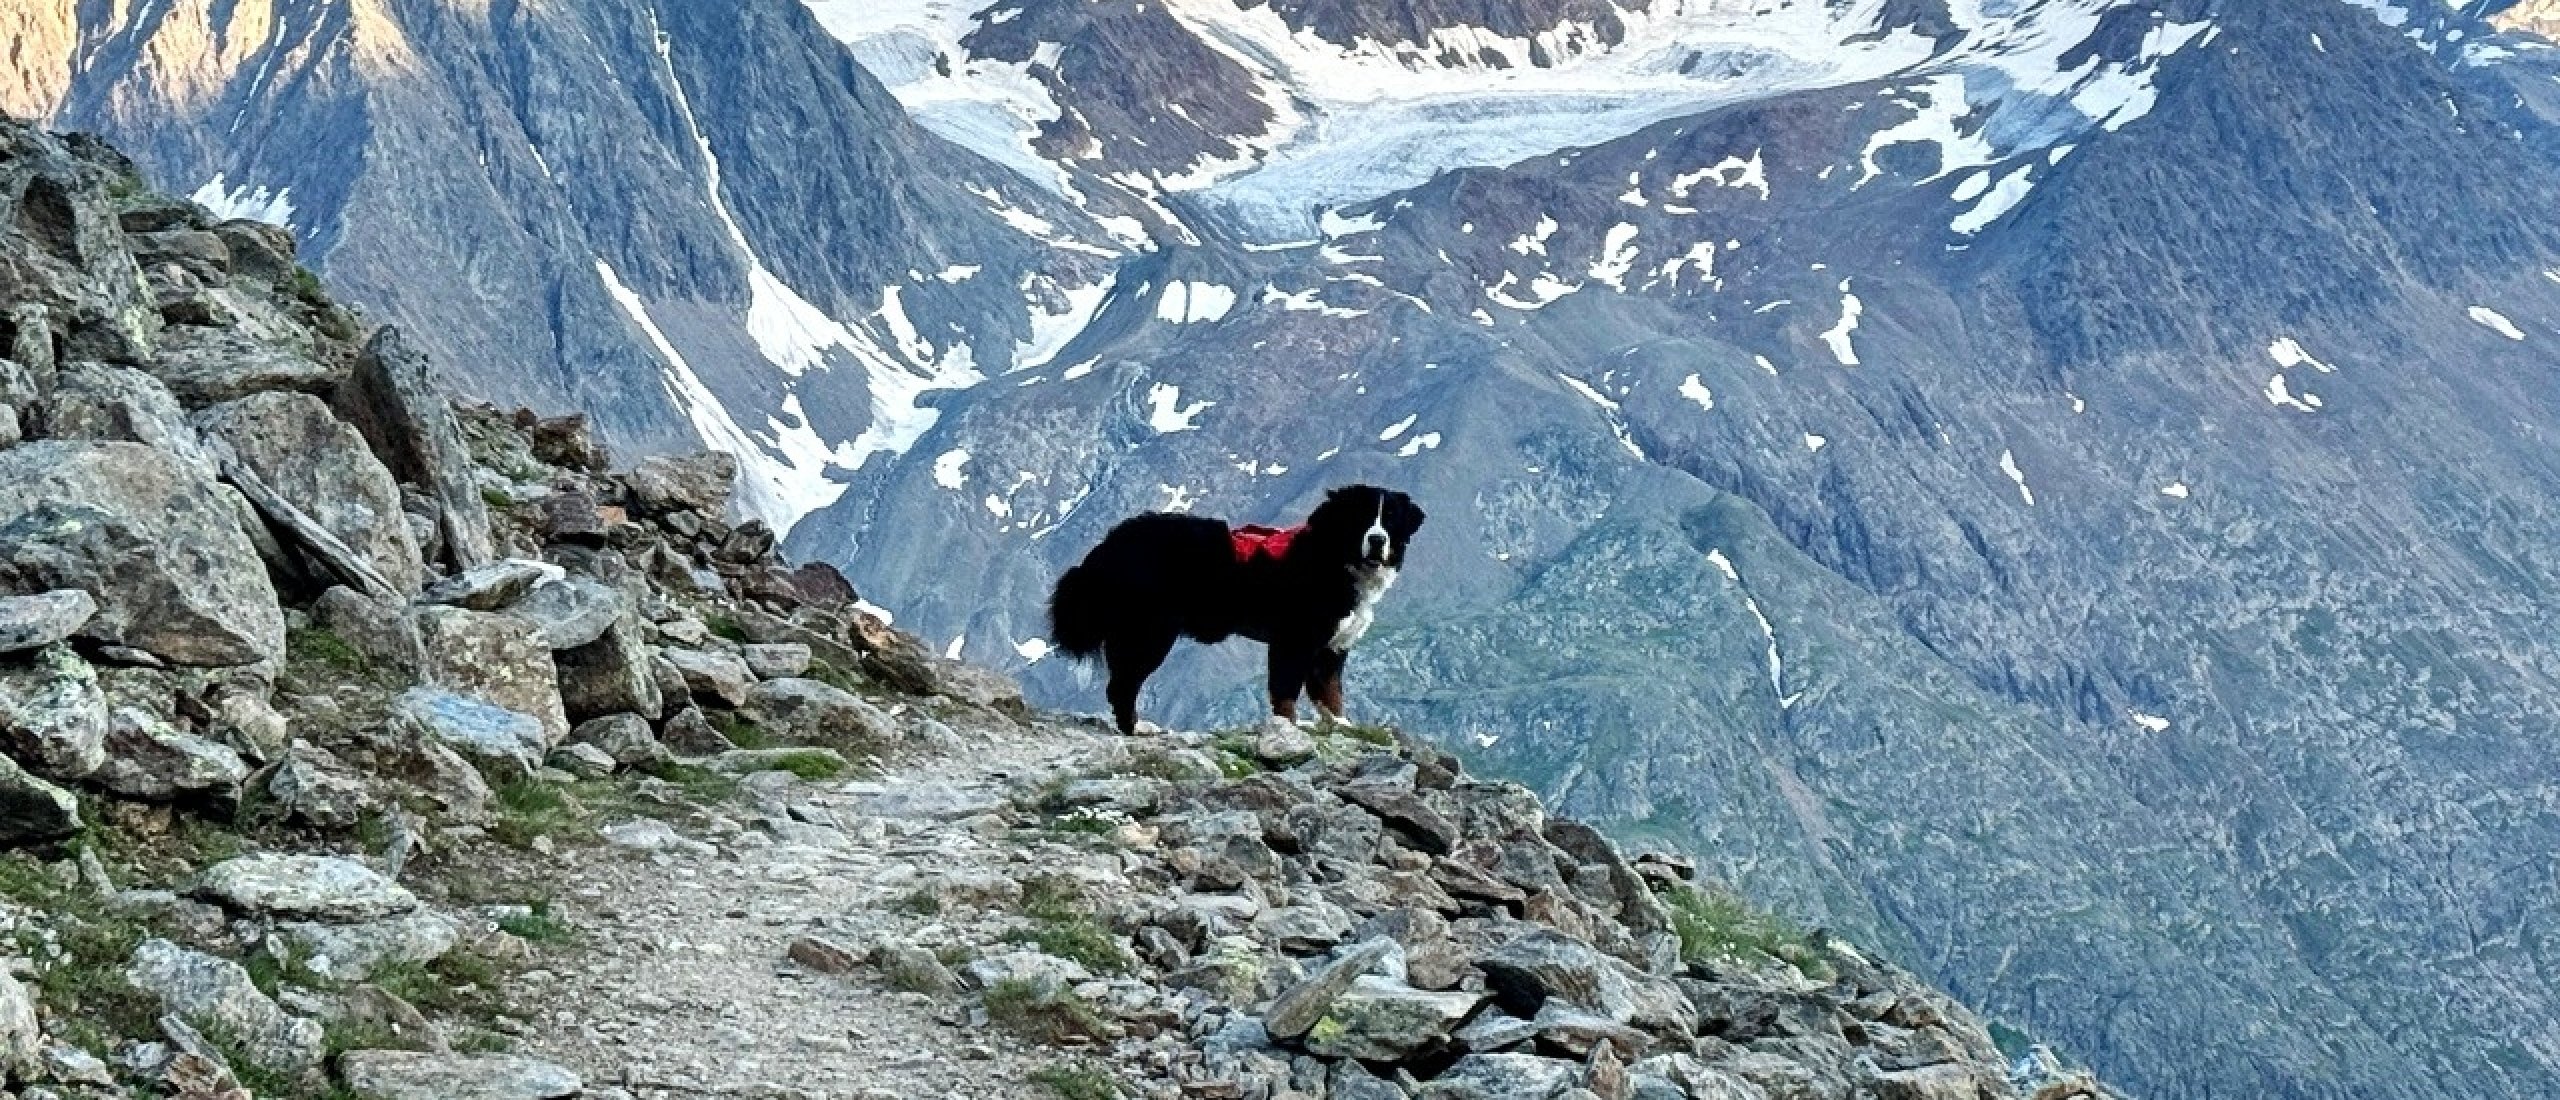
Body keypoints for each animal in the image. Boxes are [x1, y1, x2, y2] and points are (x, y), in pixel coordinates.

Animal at [1049, 486, 1433, 736]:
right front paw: (1289, 729)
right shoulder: (1294, 640)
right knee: (1123, 685)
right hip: (1149, 634)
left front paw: (1338, 723)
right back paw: (1135, 728)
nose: (1377, 539)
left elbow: (1329, 692)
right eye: (1361, 517)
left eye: (1390, 519)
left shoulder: (1331, 647)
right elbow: (1286, 692)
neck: (1335, 559)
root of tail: (1110, 546)